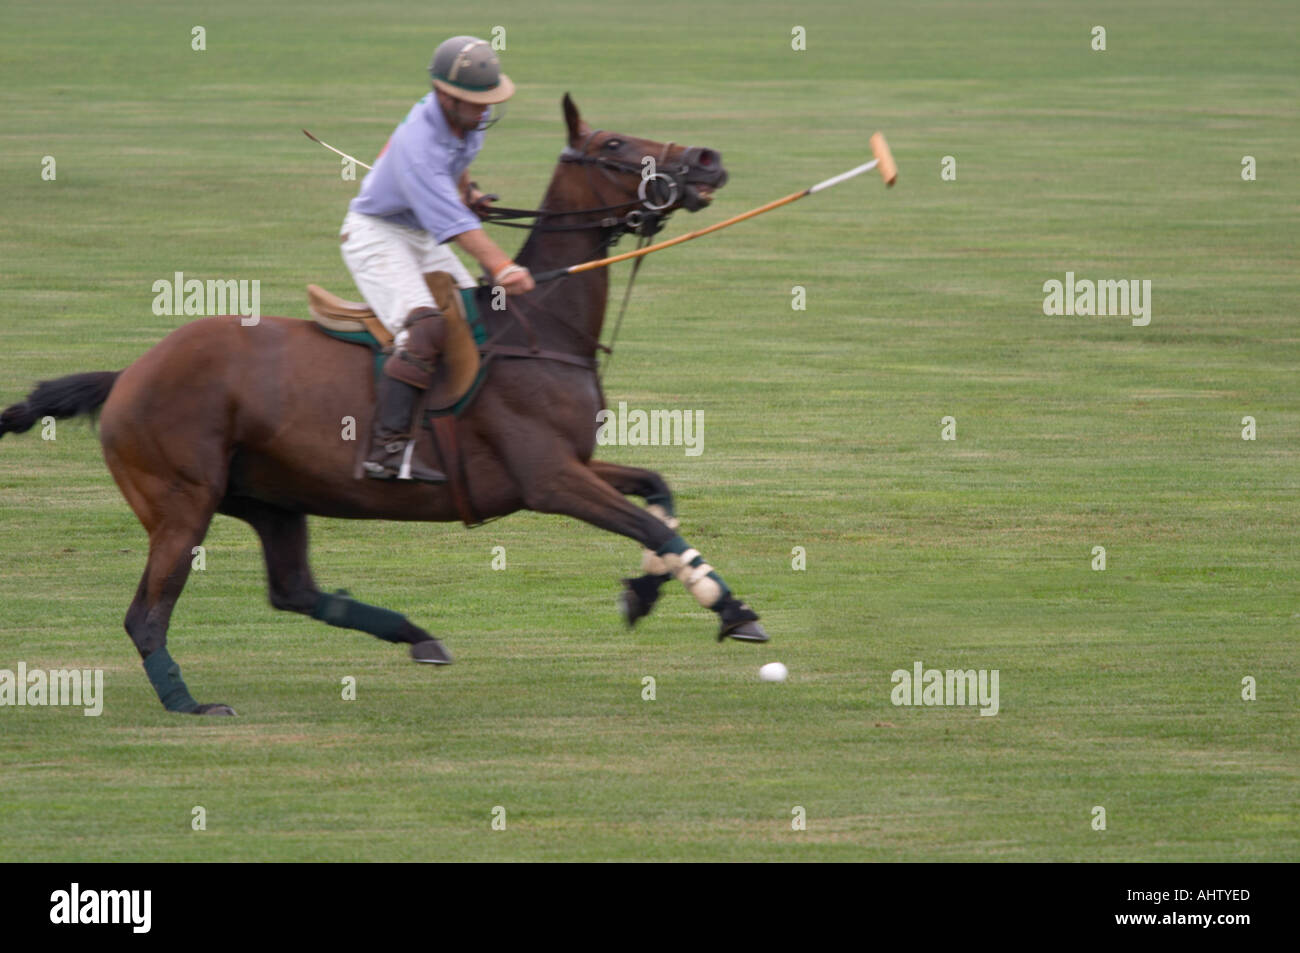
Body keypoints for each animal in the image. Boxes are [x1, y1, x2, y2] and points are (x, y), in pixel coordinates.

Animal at [0, 94, 764, 712]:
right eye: (611, 144)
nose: (708, 159)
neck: (540, 325)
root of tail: (129, 372)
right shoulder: (547, 479)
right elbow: (650, 525)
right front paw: (731, 609)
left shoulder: (575, 462)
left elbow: (657, 490)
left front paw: (648, 592)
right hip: (182, 502)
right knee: (147, 614)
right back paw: (189, 703)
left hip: (270, 498)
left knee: (293, 590)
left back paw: (416, 634)